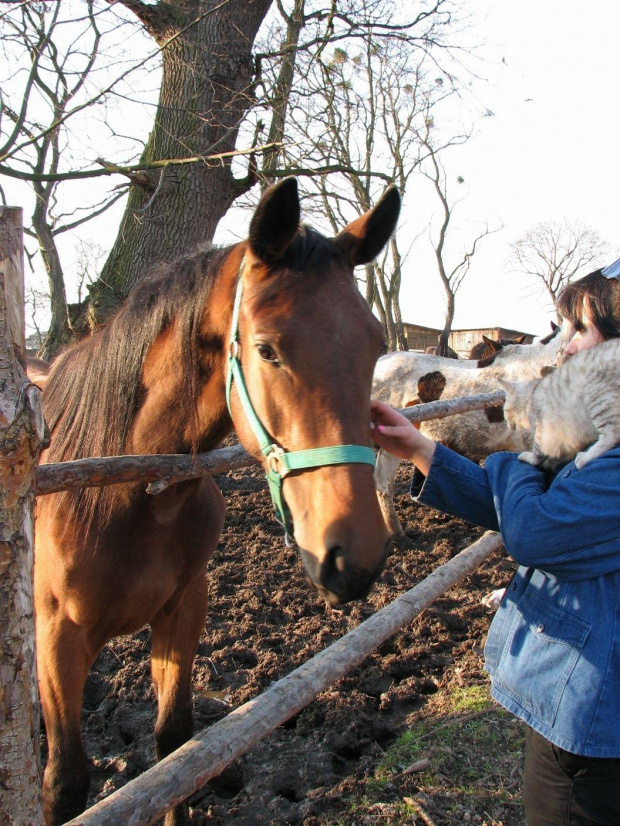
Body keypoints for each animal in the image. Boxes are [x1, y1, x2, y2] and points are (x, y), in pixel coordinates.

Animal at [498, 336, 620, 466]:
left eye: (505, 411)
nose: (508, 426)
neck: (532, 393)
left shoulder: (541, 427)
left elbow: (538, 451)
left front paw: (530, 457)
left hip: (595, 395)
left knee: (612, 434)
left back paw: (585, 457)